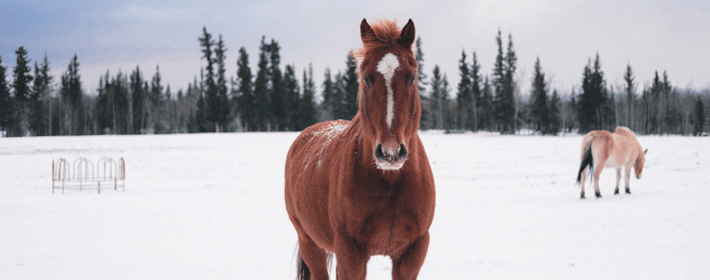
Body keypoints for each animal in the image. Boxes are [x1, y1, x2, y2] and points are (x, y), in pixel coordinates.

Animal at [286, 18, 436, 278]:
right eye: (366, 78)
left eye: (412, 77)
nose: (390, 152)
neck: (390, 182)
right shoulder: (350, 252)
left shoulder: (413, 251)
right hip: (309, 241)